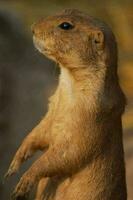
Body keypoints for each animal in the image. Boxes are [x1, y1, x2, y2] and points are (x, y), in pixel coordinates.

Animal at [5, 9, 127, 200]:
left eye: (65, 25)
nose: (32, 28)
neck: (67, 90)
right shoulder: (52, 107)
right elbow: (38, 133)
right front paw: (12, 167)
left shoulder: (91, 116)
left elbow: (67, 153)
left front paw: (22, 186)